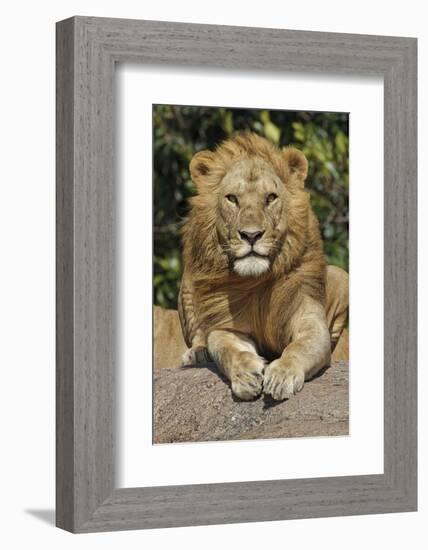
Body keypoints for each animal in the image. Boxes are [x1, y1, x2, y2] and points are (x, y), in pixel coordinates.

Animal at [175, 133, 348, 402]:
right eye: (232, 198)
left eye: (270, 198)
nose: (251, 235)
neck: (255, 282)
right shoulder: (227, 327)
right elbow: (228, 350)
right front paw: (246, 375)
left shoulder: (309, 321)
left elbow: (299, 347)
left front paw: (282, 376)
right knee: (199, 335)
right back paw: (197, 353)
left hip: (341, 276)